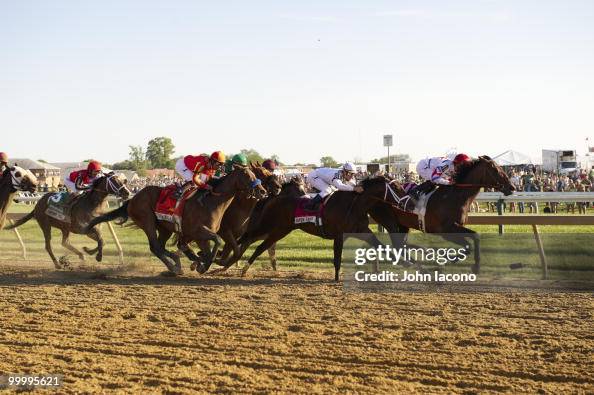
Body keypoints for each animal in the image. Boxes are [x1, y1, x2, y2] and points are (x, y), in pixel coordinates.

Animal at [84, 166, 266, 276]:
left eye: (255, 175)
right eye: (247, 175)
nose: (262, 191)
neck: (211, 202)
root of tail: (133, 198)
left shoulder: (198, 236)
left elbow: (210, 248)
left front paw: (201, 262)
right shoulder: (198, 232)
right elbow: (216, 242)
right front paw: (203, 264)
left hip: (165, 228)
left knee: (160, 246)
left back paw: (176, 263)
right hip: (147, 221)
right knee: (155, 247)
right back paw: (174, 267)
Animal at [228, 176, 394, 282]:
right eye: (396, 188)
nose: (399, 203)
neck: (354, 204)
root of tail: (273, 198)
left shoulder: (362, 231)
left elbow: (380, 245)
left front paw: (400, 260)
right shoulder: (339, 235)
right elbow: (337, 259)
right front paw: (336, 279)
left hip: (280, 230)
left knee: (260, 246)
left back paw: (241, 267)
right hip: (270, 226)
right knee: (250, 239)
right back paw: (237, 263)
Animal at [368, 156, 512, 274]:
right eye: (496, 170)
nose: (512, 187)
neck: (454, 196)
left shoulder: (456, 227)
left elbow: (475, 237)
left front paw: (465, 262)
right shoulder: (445, 231)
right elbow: (469, 243)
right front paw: (465, 263)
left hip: (403, 224)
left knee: (401, 244)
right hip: (389, 221)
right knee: (398, 244)